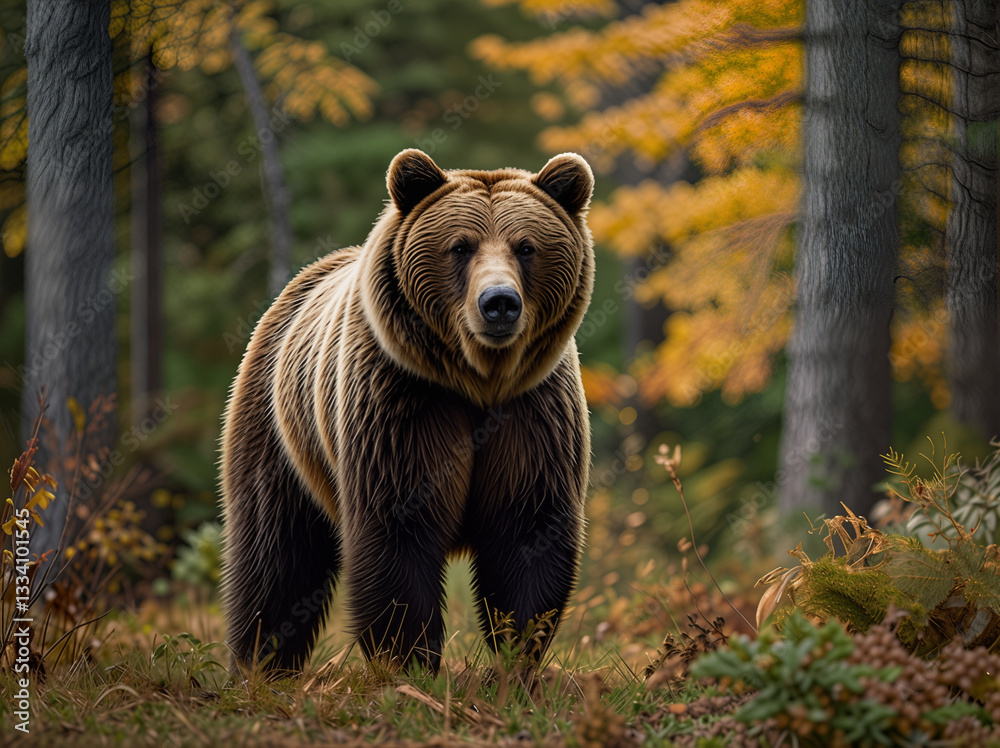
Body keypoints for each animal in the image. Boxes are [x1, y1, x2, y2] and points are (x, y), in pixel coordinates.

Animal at [219, 148, 595, 674]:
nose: (499, 303)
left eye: (526, 247)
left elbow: (528, 532)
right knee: (275, 554)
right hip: (278, 429)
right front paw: (410, 663)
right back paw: (260, 664)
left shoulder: (532, 411)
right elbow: (398, 534)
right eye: (460, 246)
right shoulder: (403, 402)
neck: (477, 380)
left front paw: (516, 658)